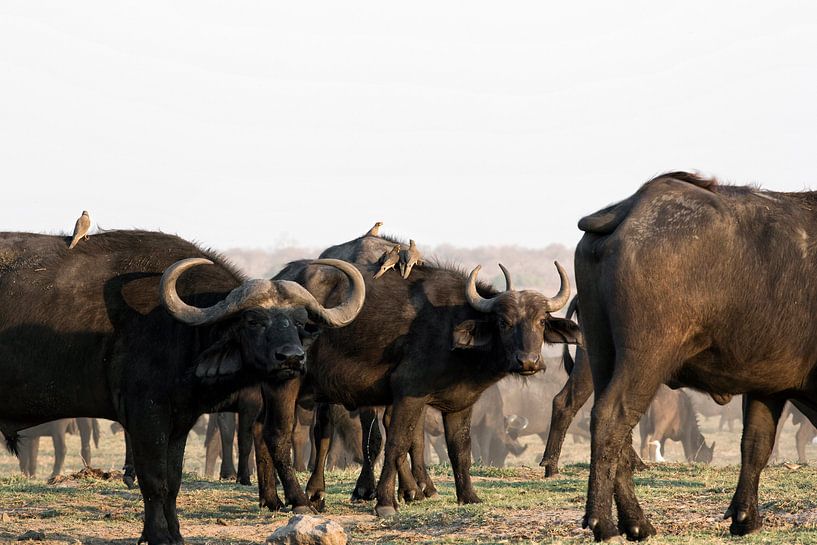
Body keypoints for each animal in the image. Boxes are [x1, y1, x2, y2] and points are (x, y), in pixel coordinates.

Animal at [0, 230, 364, 544]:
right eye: (253, 320)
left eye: (300, 322)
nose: (292, 357)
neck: (179, 329)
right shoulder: (146, 415)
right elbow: (154, 480)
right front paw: (158, 535)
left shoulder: (181, 420)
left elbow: (173, 480)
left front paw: (173, 534)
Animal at [255, 237, 580, 516]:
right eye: (503, 321)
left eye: (541, 321)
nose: (528, 361)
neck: (451, 324)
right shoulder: (409, 394)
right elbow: (397, 443)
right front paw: (386, 501)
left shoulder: (460, 403)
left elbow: (460, 448)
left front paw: (468, 496)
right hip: (287, 384)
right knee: (282, 434)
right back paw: (301, 500)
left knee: (260, 430)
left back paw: (271, 499)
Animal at [576, 171, 817, 540]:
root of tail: (630, 208)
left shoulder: (768, 386)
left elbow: (756, 444)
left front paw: (745, 517)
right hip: (646, 356)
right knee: (611, 418)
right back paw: (605, 522)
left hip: (601, 351)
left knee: (621, 432)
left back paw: (635, 522)